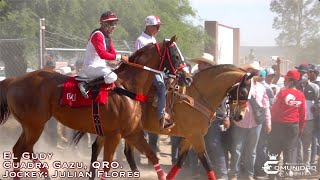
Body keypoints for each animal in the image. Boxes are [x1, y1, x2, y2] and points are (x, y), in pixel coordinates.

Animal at [0, 35, 190, 179]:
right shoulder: (114, 134)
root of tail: (15, 80)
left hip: (30, 125)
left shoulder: (132, 132)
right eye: (176, 55)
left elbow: (153, 157)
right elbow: (106, 165)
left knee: (19, 149)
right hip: (35, 125)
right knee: (23, 149)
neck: (127, 87)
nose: (187, 78)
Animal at [72, 64, 252, 179]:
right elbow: (207, 163)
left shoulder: (189, 137)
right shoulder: (196, 137)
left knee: (110, 149)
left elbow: (179, 162)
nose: (240, 116)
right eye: (243, 91)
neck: (196, 97)